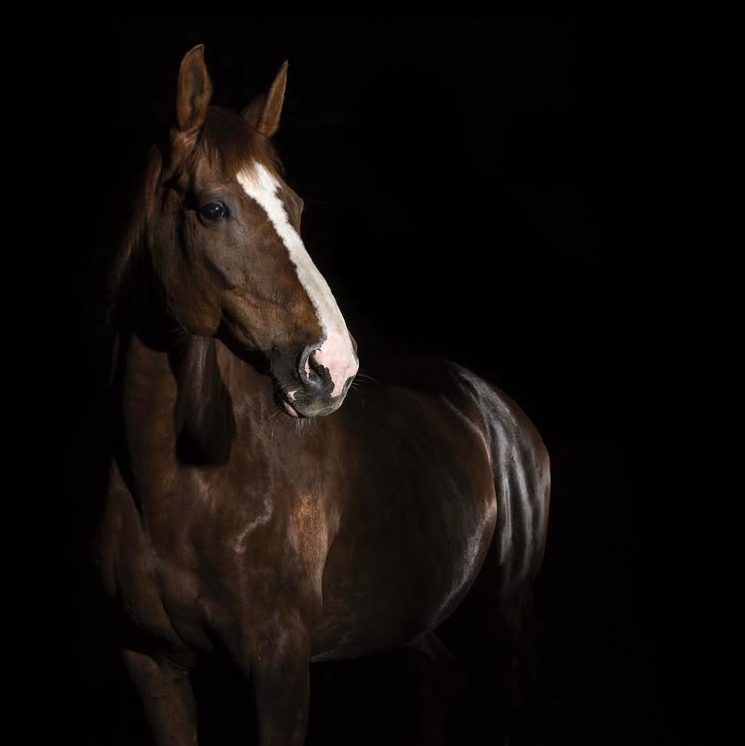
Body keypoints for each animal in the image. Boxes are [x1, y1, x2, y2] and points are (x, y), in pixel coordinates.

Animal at [95, 44, 551, 746]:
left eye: (296, 205)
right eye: (214, 209)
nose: (331, 366)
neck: (182, 485)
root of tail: (497, 407)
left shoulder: (280, 670)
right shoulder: (151, 663)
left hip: (509, 610)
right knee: (440, 676)